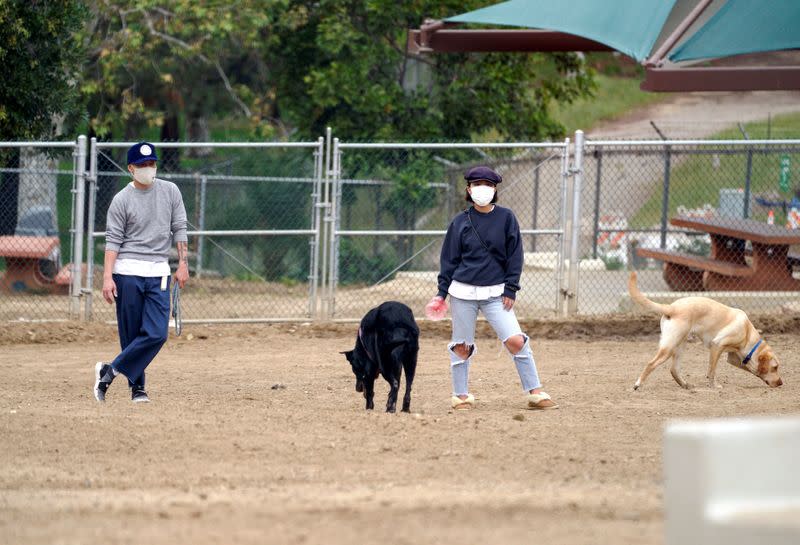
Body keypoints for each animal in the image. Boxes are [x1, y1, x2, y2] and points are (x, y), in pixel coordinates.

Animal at [628, 272, 784, 392]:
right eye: (775, 367)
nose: (781, 383)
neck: (747, 333)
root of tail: (671, 307)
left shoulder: (733, 358)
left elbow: (749, 367)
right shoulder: (717, 345)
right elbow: (711, 371)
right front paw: (714, 386)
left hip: (680, 344)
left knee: (673, 369)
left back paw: (685, 385)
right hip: (670, 346)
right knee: (651, 364)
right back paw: (638, 384)